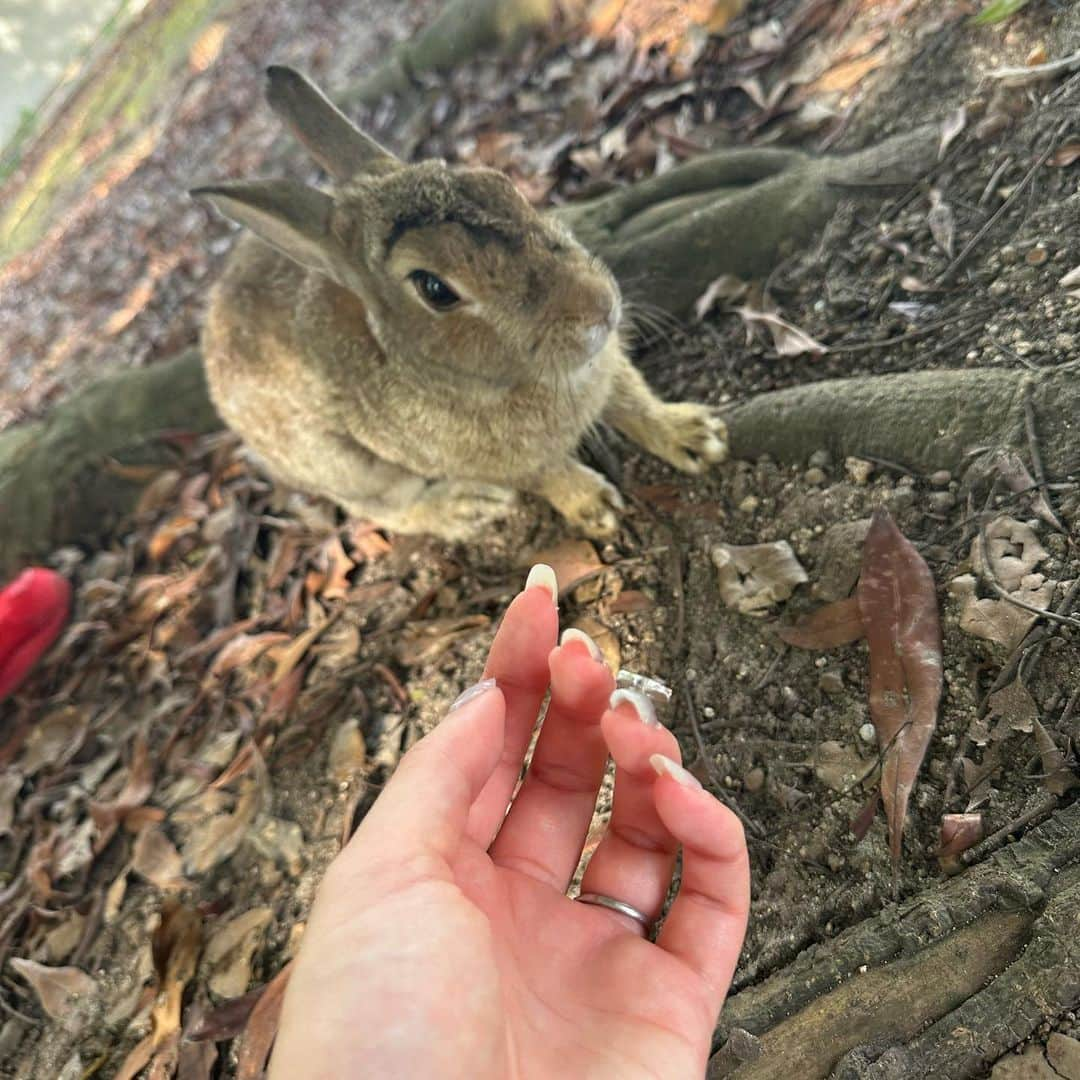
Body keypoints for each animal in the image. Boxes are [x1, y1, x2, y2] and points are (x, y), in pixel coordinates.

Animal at [193, 67, 725, 540]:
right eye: (435, 289)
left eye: (501, 185)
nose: (599, 305)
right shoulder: (492, 461)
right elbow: (545, 474)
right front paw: (595, 508)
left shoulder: (607, 369)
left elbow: (633, 401)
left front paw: (696, 436)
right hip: (349, 468)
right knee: (385, 509)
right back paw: (465, 508)